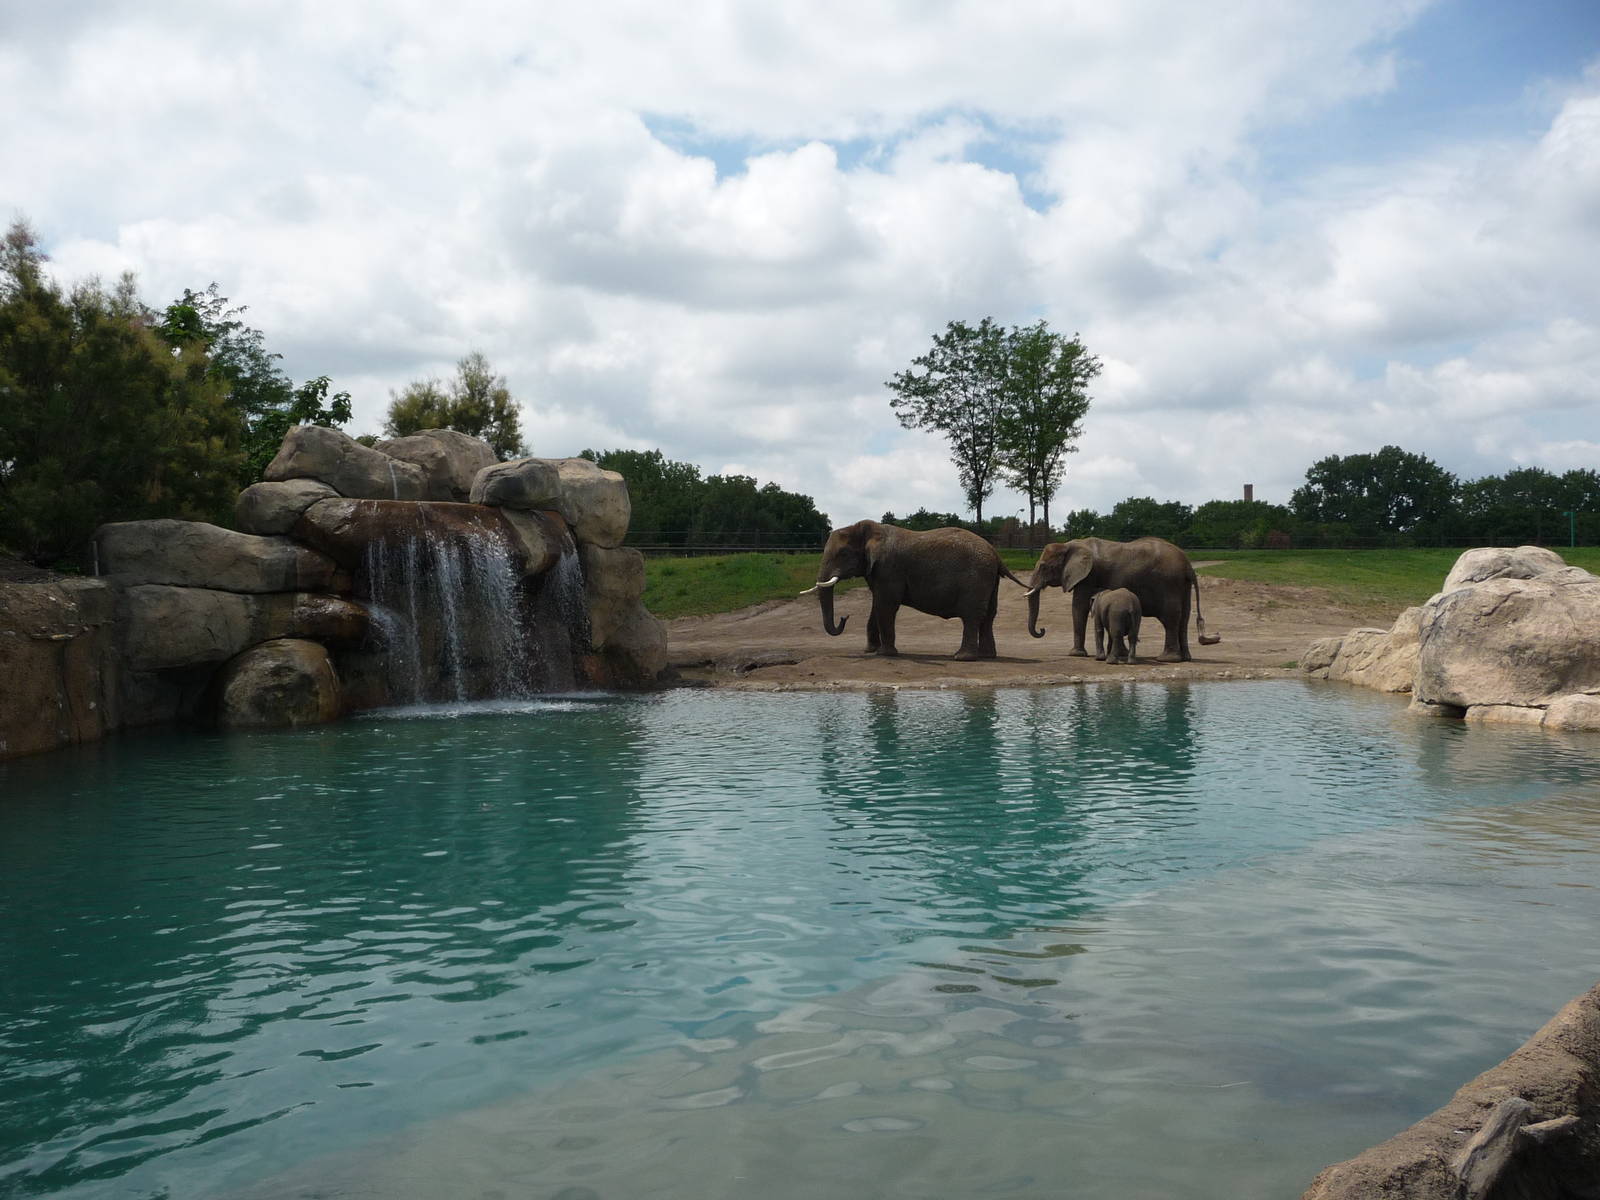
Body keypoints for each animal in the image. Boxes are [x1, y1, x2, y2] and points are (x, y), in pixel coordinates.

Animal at [800, 520, 1027, 660]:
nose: (844, 617)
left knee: (971, 617)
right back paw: (987, 656)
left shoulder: (889, 568)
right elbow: (877, 605)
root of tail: (996, 554)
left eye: (843, 554)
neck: (869, 529)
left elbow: (886, 605)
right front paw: (870, 651)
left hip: (976, 578)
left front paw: (885, 654)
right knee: (988, 617)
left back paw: (962, 658)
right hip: (990, 580)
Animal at [1023, 536, 1221, 662]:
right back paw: (1185, 658)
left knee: (1170, 618)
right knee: (1184, 618)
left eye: (1043, 567)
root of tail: (1189, 566)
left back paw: (1167, 659)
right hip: (1182, 586)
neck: (1069, 544)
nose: (1042, 629)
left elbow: (1079, 607)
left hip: (1169, 583)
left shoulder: (1087, 576)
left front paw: (1076, 655)